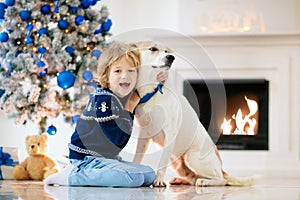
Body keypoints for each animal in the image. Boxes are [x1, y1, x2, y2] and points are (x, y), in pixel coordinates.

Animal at [132, 41, 256, 188]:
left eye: (166, 51)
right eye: (153, 49)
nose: (171, 57)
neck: (152, 90)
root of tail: (221, 167)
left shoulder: (170, 132)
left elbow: (162, 162)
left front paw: (159, 180)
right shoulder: (144, 135)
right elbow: (137, 157)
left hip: (191, 157)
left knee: (221, 180)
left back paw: (205, 182)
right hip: (177, 162)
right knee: (193, 177)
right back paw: (181, 180)